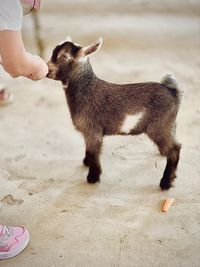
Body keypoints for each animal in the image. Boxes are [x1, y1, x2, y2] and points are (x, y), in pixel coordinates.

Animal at [46, 36, 181, 191]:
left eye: (63, 56)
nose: (47, 70)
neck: (87, 89)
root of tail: (174, 93)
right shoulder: (88, 132)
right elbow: (89, 150)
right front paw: (86, 162)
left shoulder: (93, 130)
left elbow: (94, 152)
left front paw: (92, 178)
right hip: (170, 125)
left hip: (159, 127)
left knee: (175, 150)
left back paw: (165, 183)